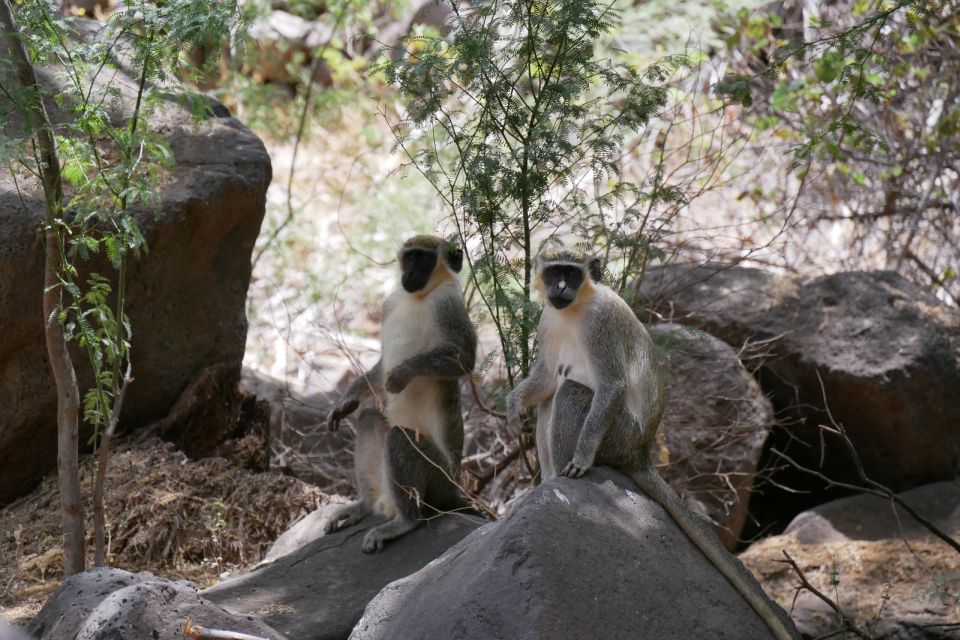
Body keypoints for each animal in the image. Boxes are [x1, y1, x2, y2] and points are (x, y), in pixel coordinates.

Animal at [326, 236, 476, 556]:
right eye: (410, 258)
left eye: (425, 259)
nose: (411, 274)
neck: (417, 297)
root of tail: (455, 489)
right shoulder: (389, 304)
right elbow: (382, 366)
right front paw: (348, 400)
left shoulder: (449, 305)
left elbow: (464, 360)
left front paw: (403, 373)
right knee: (371, 419)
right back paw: (364, 505)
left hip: (439, 480)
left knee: (401, 437)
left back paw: (405, 522)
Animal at [506, 245, 800, 640]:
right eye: (554, 273)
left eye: (572, 273)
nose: (561, 287)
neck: (574, 308)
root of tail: (642, 451)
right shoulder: (546, 321)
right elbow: (545, 378)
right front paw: (514, 404)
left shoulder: (600, 323)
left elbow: (611, 385)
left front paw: (581, 458)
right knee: (553, 394)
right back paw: (543, 483)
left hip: (619, 435)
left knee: (570, 392)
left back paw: (558, 479)